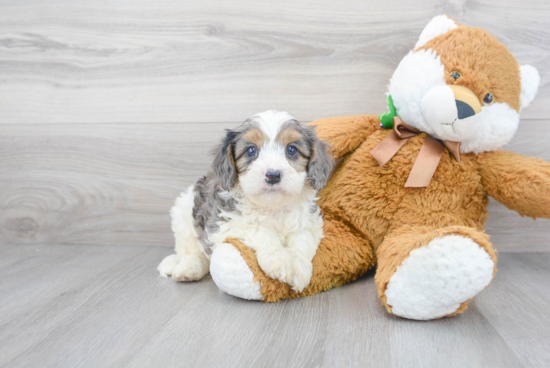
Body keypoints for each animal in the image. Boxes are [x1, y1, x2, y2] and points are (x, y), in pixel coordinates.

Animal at [157, 110, 334, 292]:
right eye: (251, 150)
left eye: (291, 149)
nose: (273, 175)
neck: (272, 207)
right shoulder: (225, 224)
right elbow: (261, 231)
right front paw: (280, 260)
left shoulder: (308, 223)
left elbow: (302, 240)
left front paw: (299, 267)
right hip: (184, 213)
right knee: (191, 250)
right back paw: (189, 268)